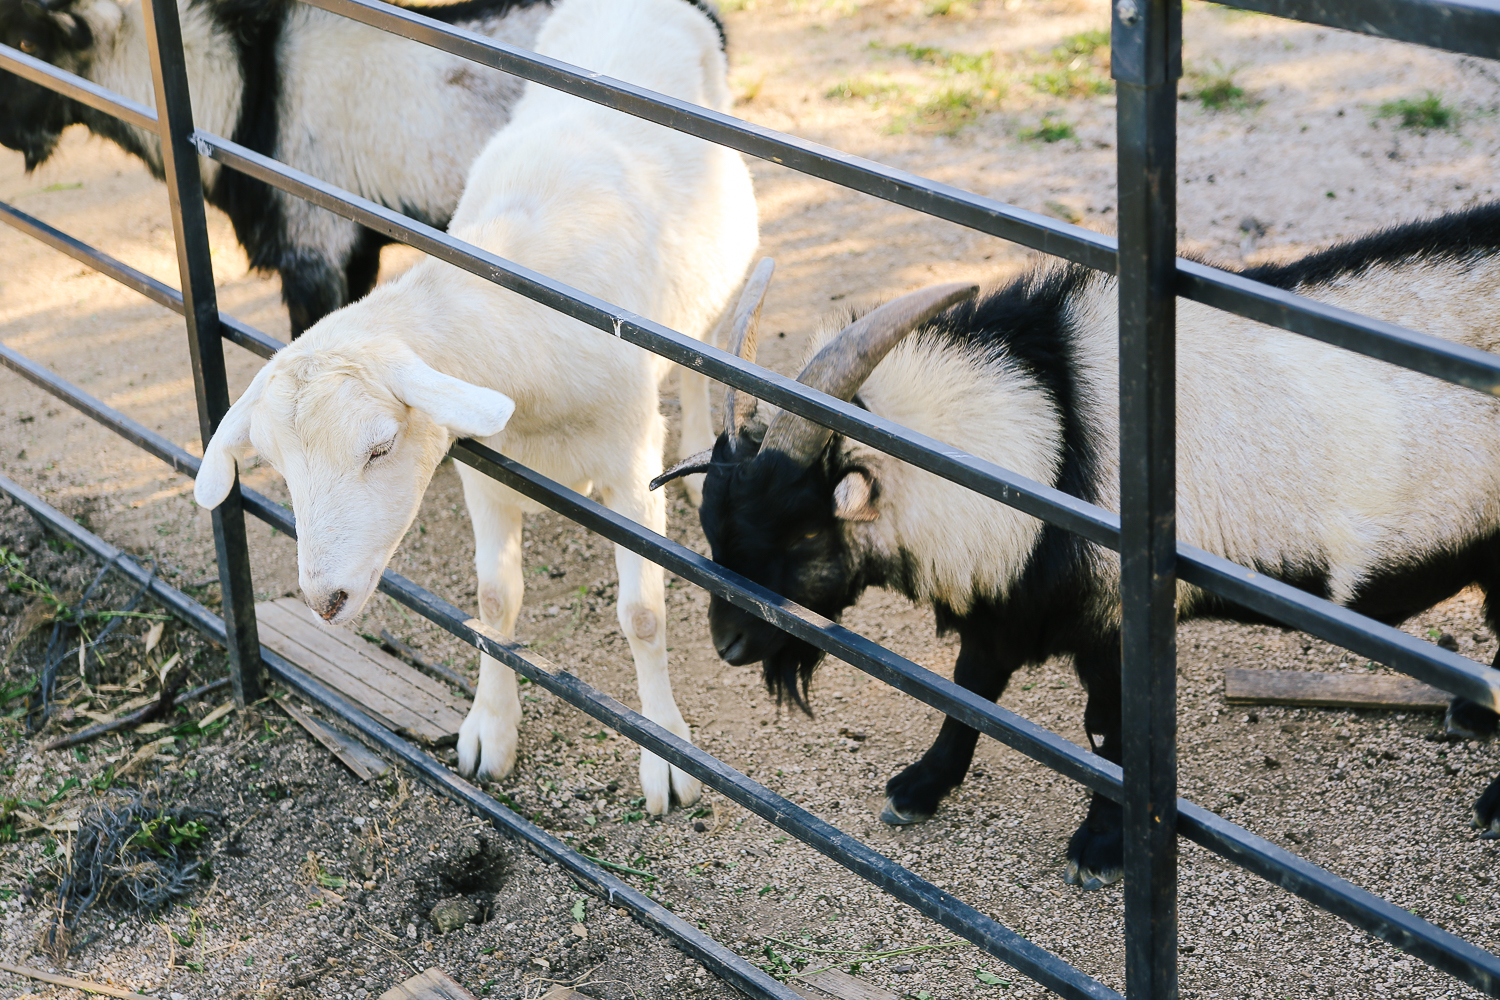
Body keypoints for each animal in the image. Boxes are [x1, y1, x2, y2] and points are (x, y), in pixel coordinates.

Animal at [193, 0, 758, 813]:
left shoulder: (629, 459)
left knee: (702, 352)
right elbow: (493, 601)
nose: (324, 600)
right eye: (279, 468)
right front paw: (490, 732)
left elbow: (643, 614)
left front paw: (666, 754)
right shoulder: (484, 466)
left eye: (379, 446)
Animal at [656, 203, 1500, 888]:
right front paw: (919, 789)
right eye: (719, 525)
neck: (1060, 432)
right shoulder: (1005, 608)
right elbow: (970, 693)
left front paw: (1099, 849)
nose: (729, 646)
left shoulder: (1114, 625)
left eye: (802, 531)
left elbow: (1110, 734)